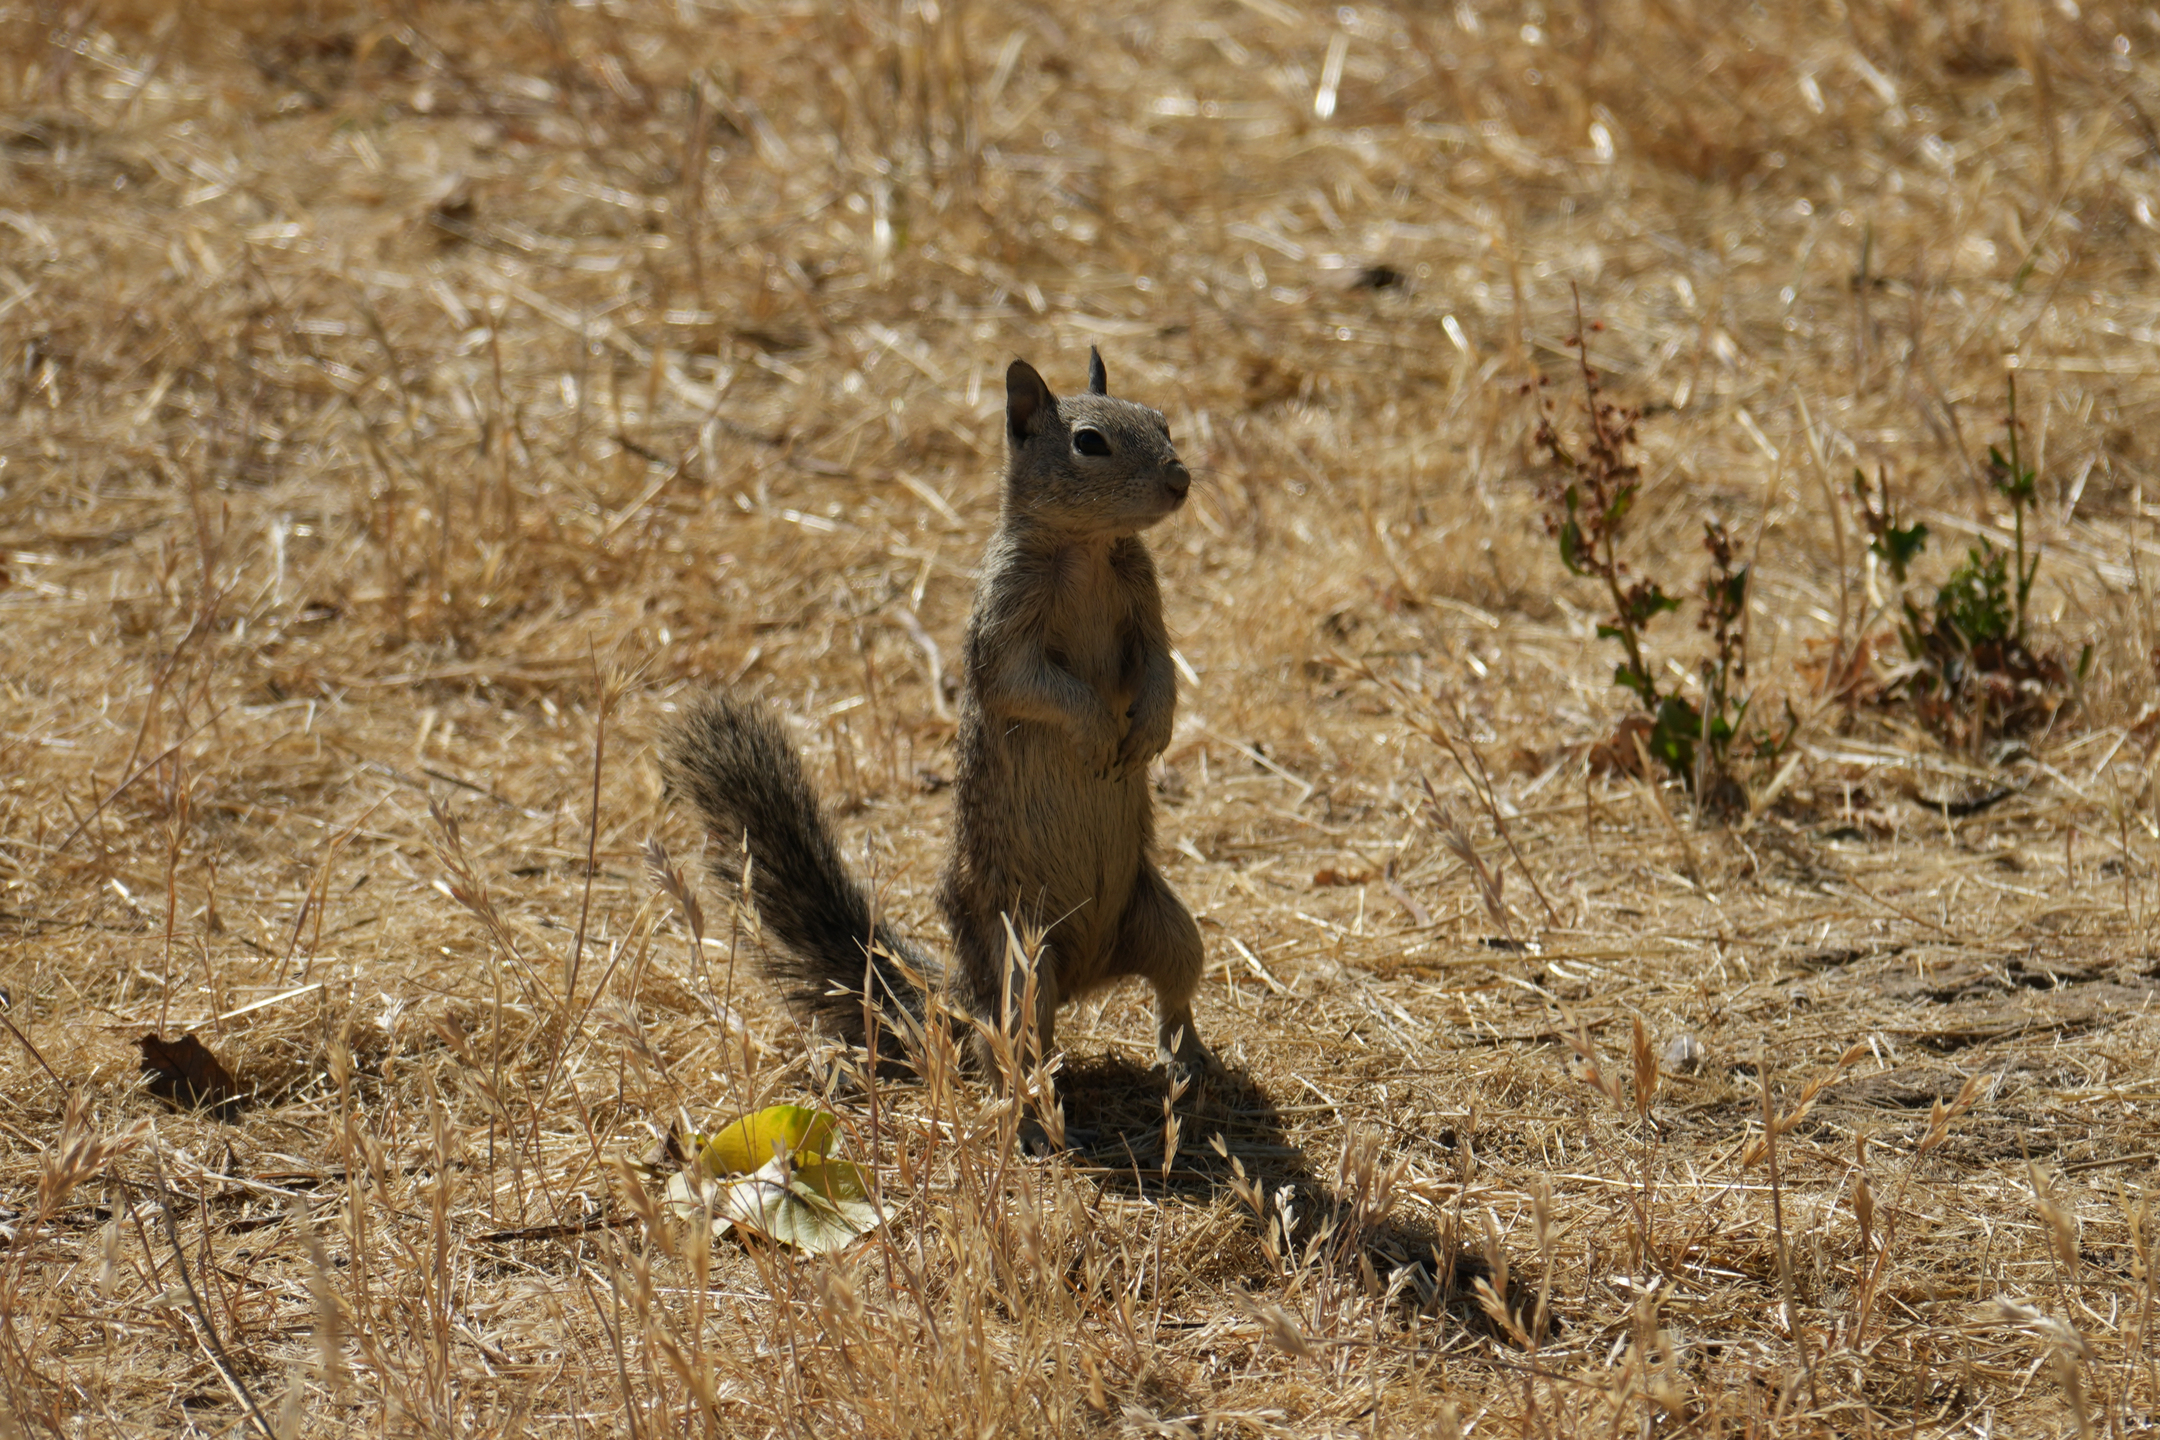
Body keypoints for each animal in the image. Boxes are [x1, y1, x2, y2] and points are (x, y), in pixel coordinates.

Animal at [662, 347, 1216, 1080]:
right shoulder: (1004, 628)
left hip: (1167, 924)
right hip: (1020, 961)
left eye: (1162, 420)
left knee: (1173, 990)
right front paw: (1098, 730)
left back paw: (1189, 1059)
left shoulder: (1145, 604)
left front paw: (1154, 727)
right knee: (1002, 1043)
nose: (1179, 480)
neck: (1089, 549)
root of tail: (1084, 978)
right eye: (1089, 443)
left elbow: (1158, 667)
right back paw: (1031, 1102)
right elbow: (1031, 684)